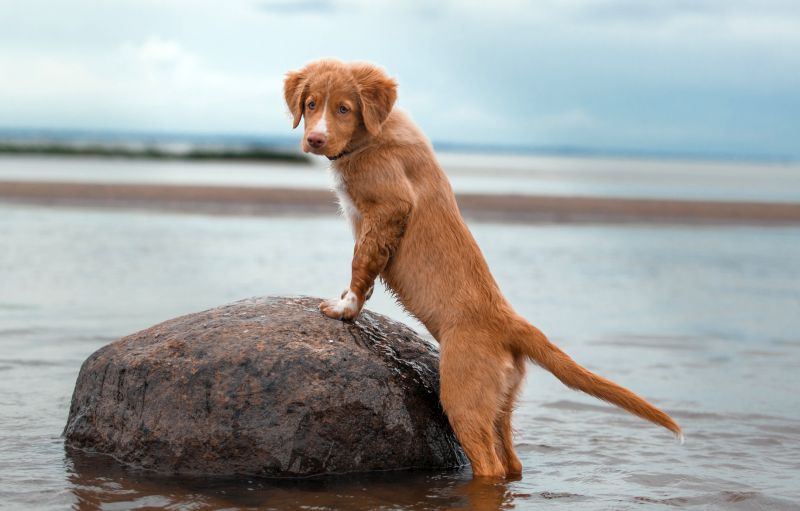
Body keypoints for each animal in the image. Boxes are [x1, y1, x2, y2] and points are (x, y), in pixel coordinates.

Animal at [282, 60, 680, 480]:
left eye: (344, 108)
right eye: (310, 104)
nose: (315, 139)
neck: (374, 134)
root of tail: (514, 325)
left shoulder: (390, 207)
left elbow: (362, 262)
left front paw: (344, 308)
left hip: (463, 397)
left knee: (489, 466)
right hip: (500, 400)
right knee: (511, 461)